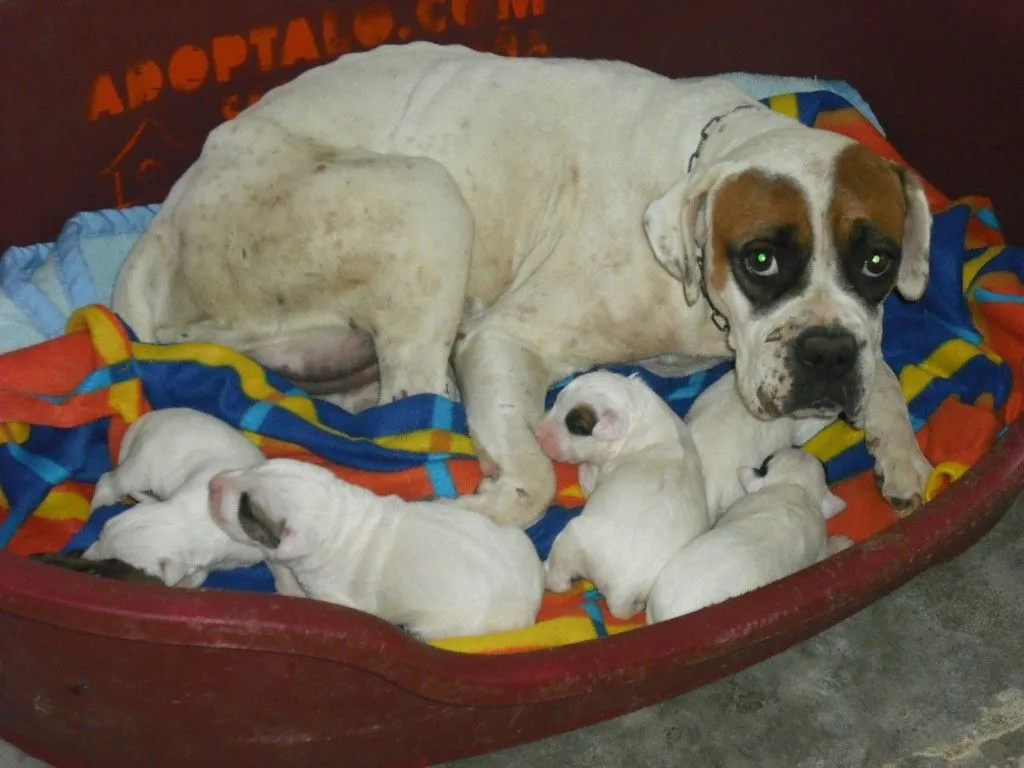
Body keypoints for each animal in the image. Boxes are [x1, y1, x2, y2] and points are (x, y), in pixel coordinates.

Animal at [114, 41, 937, 532]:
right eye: (761, 261)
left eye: (879, 262)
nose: (825, 354)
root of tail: (159, 232)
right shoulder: (504, 340)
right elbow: (532, 478)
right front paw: (493, 502)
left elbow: (886, 368)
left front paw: (899, 449)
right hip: (426, 199)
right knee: (408, 407)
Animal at [203, 456, 548, 643]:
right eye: (257, 466)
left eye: (247, 510)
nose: (213, 483)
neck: (336, 519)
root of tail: (531, 599)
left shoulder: (333, 597)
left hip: (451, 623)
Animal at [532, 370, 708, 618]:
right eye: (556, 401)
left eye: (577, 427)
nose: (537, 434)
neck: (635, 415)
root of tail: (622, 593)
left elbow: (589, 480)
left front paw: (585, 469)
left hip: (571, 541)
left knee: (559, 581)